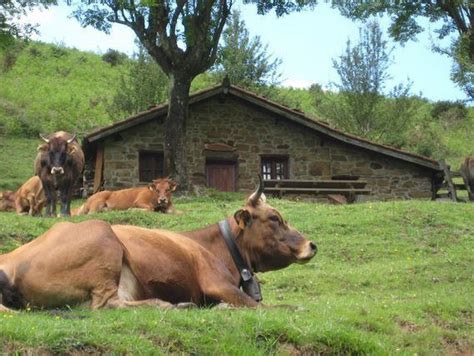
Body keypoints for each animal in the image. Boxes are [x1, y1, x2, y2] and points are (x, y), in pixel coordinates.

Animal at [0, 178, 318, 312]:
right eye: (275, 218)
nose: (311, 245)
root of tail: (9, 261)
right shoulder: (216, 284)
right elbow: (265, 306)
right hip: (104, 241)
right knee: (106, 304)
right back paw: (172, 305)